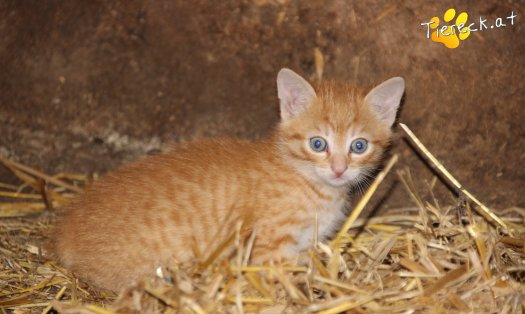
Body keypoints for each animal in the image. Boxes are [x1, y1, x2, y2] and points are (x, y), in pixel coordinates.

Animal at [53, 67, 404, 290]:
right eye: (318, 144)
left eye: (358, 146)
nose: (339, 169)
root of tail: (65, 236)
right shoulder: (268, 247)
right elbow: (281, 275)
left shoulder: (305, 244)